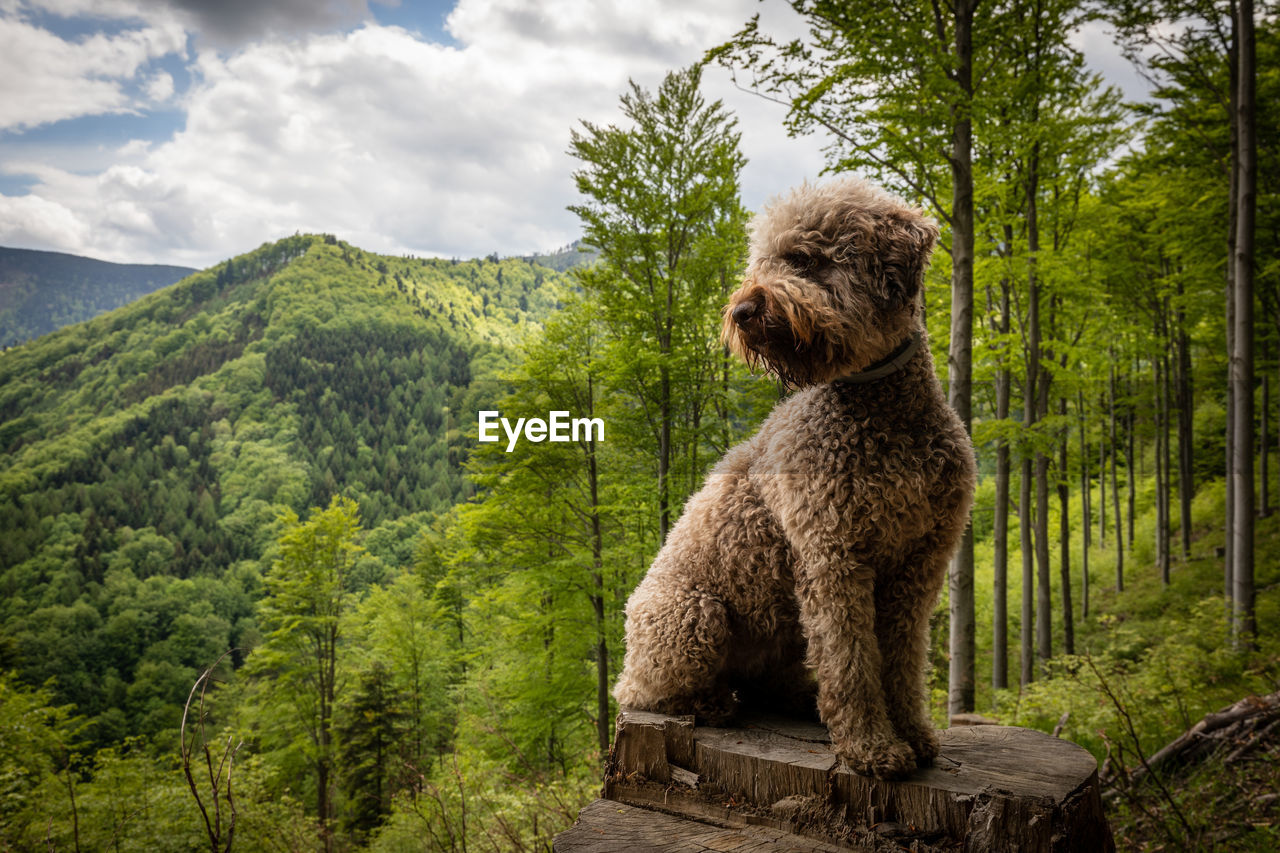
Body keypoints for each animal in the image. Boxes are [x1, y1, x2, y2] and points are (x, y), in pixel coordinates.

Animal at [614, 178, 972, 778]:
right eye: (761, 261)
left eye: (804, 259)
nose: (741, 310)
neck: (883, 414)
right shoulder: (833, 558)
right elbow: (852, 662)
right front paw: (871, 747)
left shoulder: (919, 565)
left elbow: (900, 660)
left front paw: (913, 734)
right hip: (692, 616)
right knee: (647, 694)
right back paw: (713, 701)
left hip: (774, 632)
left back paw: (801, 700)